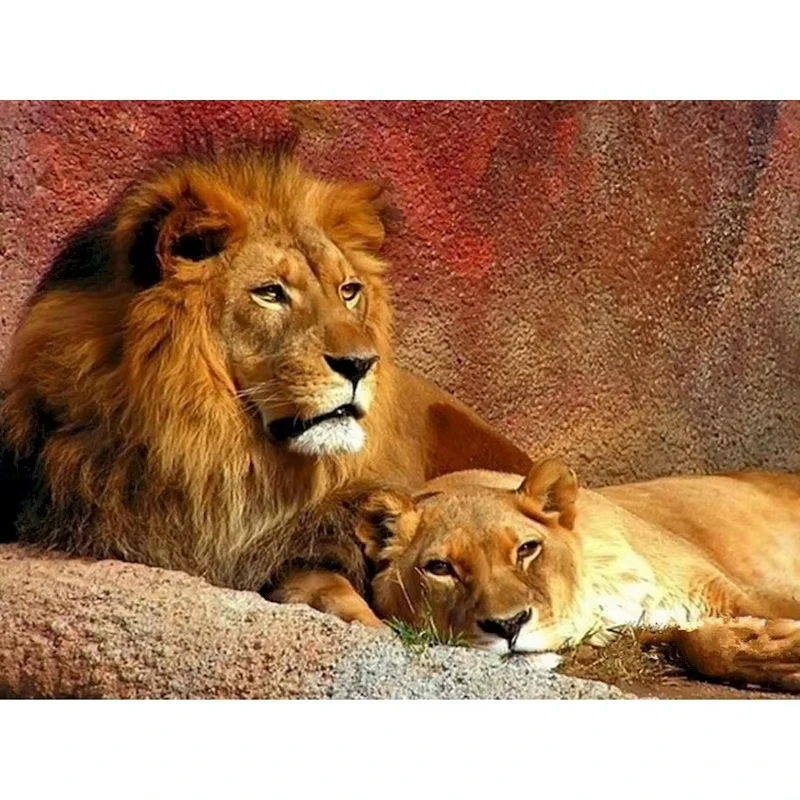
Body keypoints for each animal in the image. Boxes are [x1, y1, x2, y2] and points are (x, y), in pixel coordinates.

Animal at [356, 458, 800, 692]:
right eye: (440, 568)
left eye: (526, 549)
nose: (508, 625)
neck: (600, 596)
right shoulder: (648, 628)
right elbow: (698, 644)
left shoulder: (732, 588)